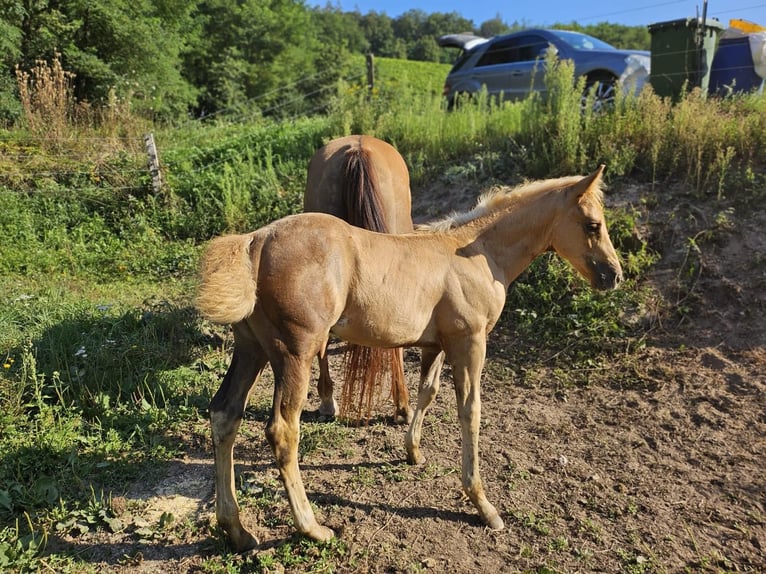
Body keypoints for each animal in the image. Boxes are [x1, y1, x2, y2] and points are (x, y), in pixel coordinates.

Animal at [196, 166, 624, 552]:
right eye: (593, 224)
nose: (614, 275)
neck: (476, 253)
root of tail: (256, 242)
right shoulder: (470, 342)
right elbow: (470, 411)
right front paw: (483, 504)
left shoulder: (436, 344)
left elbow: (428, 391)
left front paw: (413, 451)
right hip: (295, 353)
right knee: (283, 431)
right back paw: (313, 528)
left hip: (251, 349)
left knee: (224, 414)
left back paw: (236, 530)